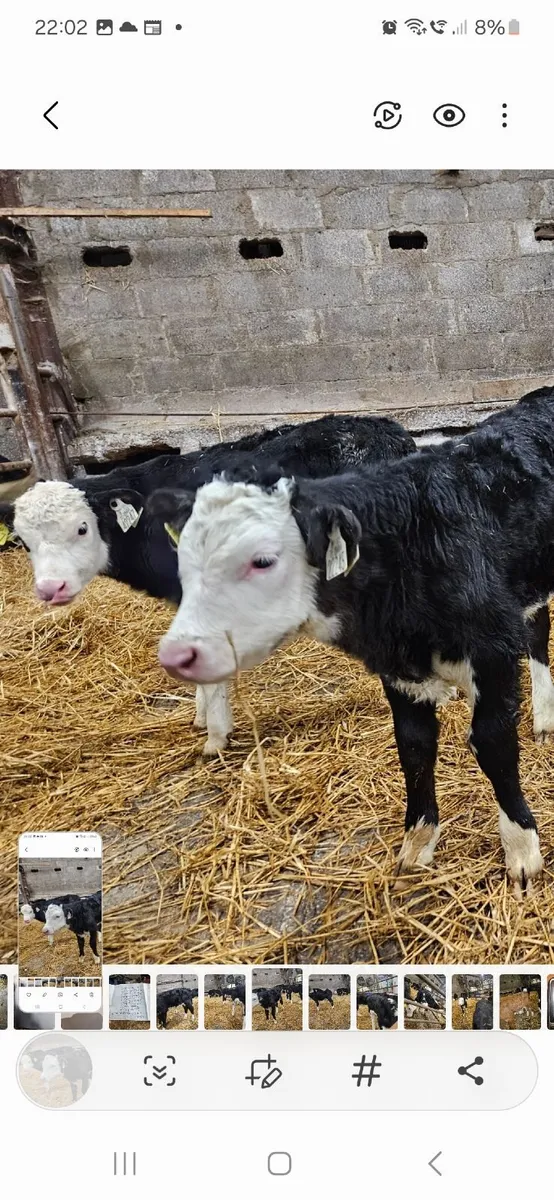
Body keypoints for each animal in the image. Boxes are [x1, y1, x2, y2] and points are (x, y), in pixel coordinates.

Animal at [2, 415, 415, 756]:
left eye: (82, 528)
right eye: (24, 541)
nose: (51, 588)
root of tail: (387, 430)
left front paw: (216, 738)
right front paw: (202, 718)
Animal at [153, 386, 554, 896]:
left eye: (263, 560)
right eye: (187, 559)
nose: (177, 653)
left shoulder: (493, 652)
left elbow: (493, 744)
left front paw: (521, 851)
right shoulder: (399, 671)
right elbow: (414, 747)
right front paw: (416, 844)